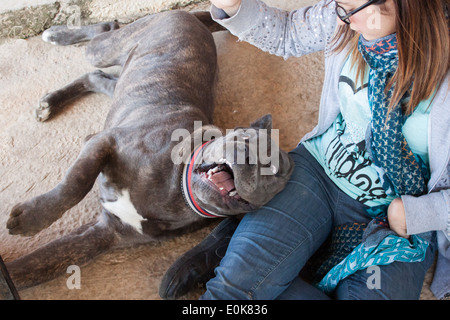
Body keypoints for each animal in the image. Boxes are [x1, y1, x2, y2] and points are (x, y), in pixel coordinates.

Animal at [5, 10, 294, 290]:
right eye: (244, 138)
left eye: (273, 172)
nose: (247, 157)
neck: (179, 189)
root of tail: (189, 16)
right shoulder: (105, 142)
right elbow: (74, 185)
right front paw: (32, 218)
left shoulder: (105, 234)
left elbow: (35, 265)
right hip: (105, 50)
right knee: (105, 31)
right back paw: (57, 38)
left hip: (123, 81)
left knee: (97, 76)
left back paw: (51, 101)